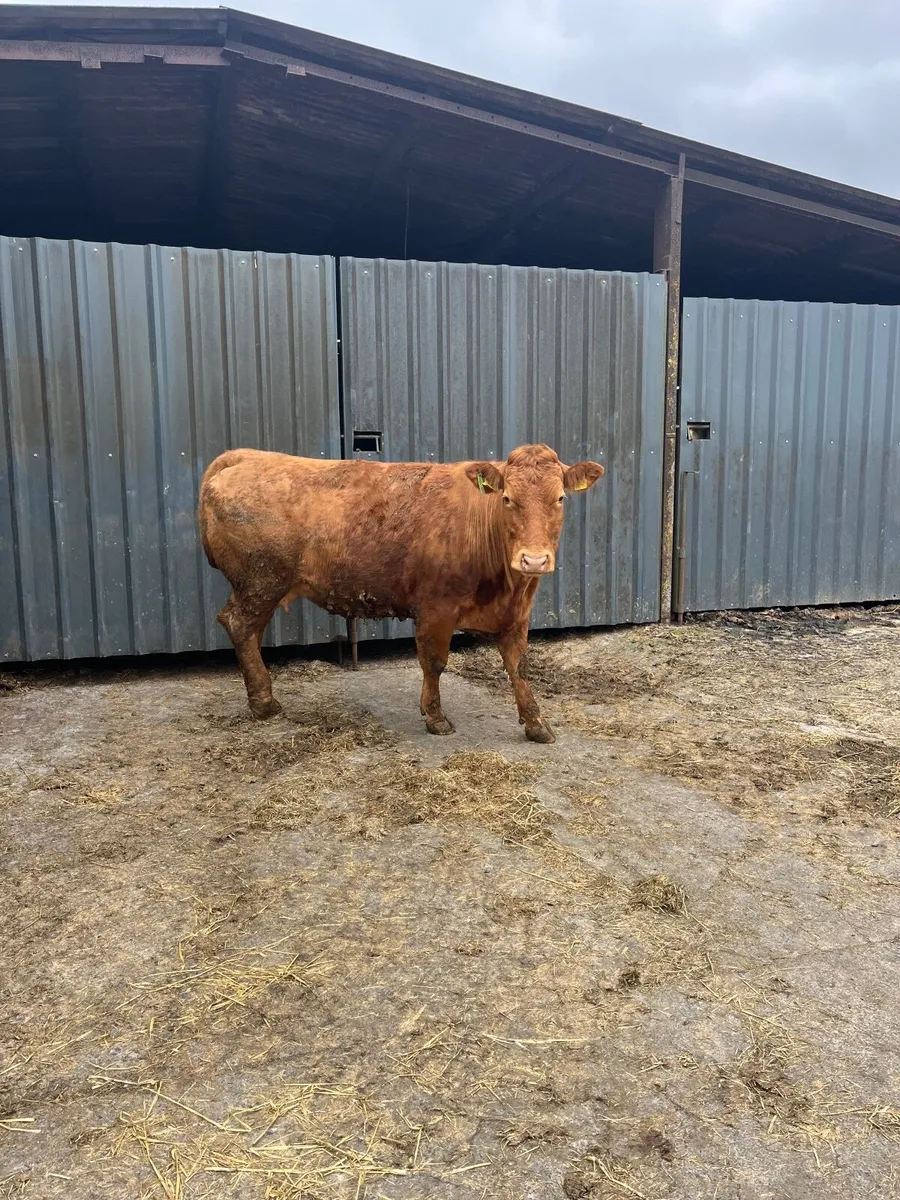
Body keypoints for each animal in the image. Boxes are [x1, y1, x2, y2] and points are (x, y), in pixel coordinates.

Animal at [198, 444, 604, 743]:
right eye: (506, 498)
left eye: (560, 498)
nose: (533, 559)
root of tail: (247, 456)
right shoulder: (436, 608)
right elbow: (434, 663)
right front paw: (436, 717)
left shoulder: (517, 613)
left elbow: (519, 666)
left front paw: (536, 723)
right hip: (260, 583)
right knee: (239, 626)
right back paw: (264, 702)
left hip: (261, 588)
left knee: (249, 631)